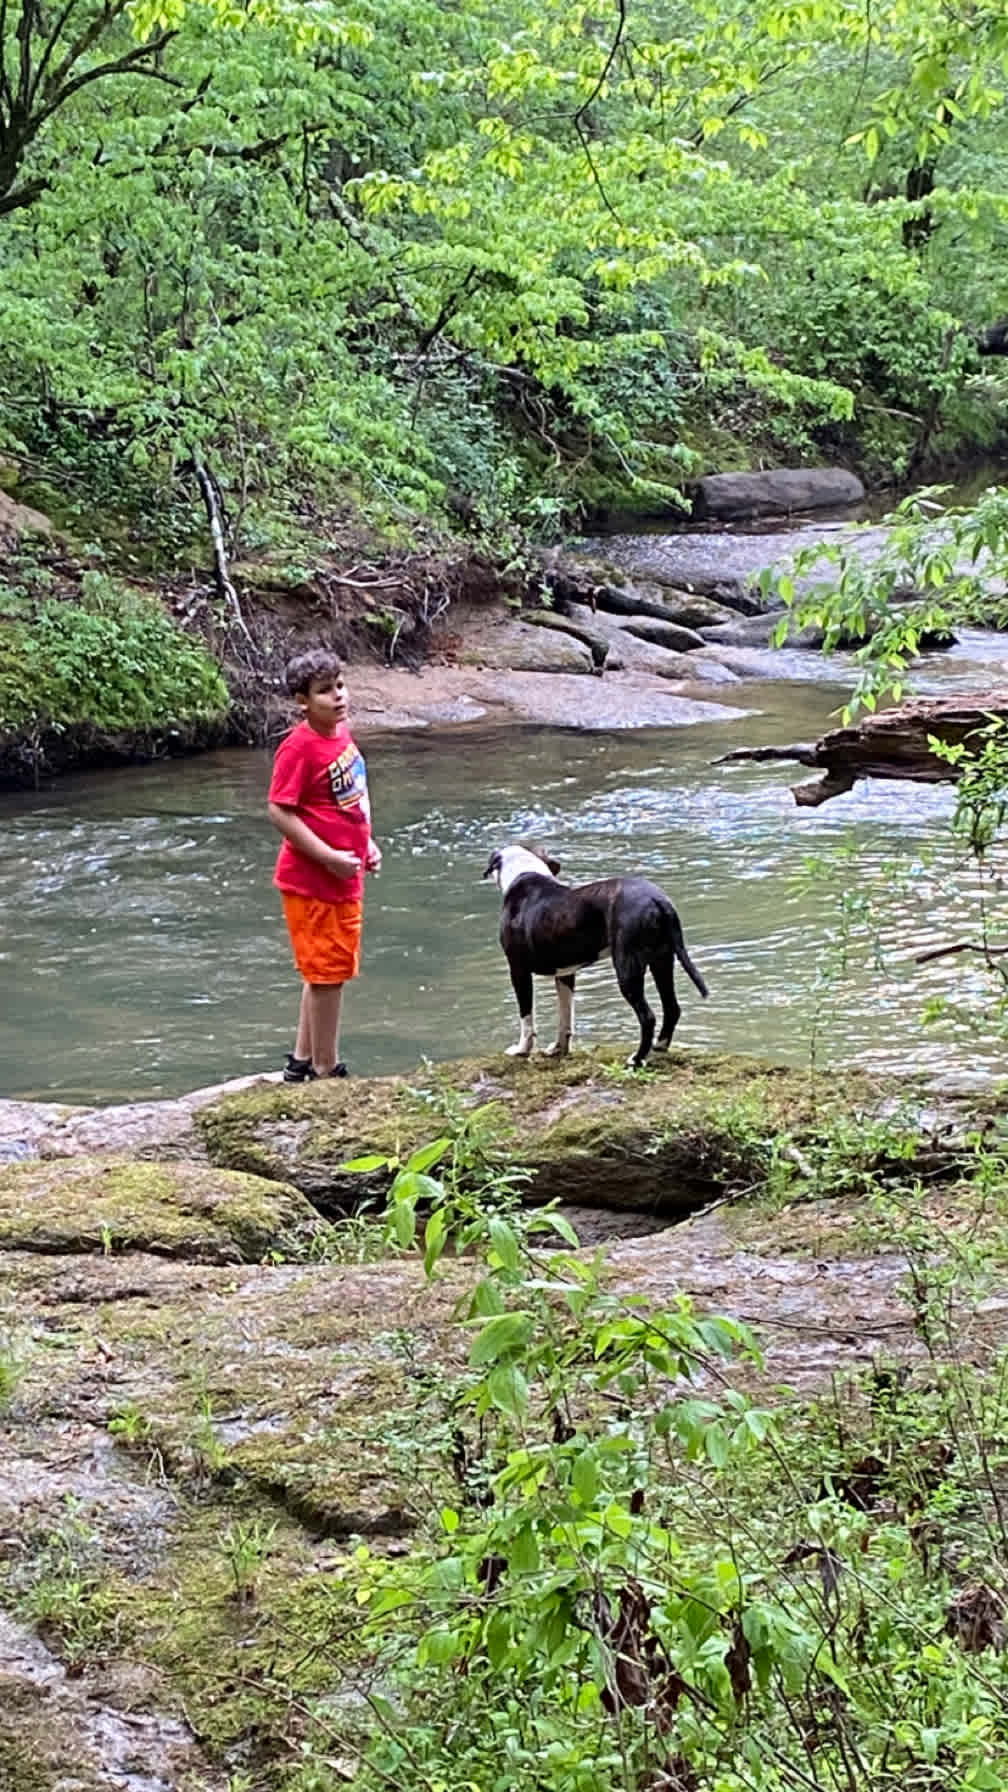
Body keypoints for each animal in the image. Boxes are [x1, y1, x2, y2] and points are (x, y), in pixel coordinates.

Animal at [480, 838, 706, 1060]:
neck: (524, 871)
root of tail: (657, 899)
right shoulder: (565, 974)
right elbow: (565, 1016)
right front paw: (559, 1049)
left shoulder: (518, 970)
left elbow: (526, 1018)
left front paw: (522, 1050)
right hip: (662, 960)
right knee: (671, 1007)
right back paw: (660, 1046)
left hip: (628, 968)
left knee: (648, 1017)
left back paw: (636, 1059)